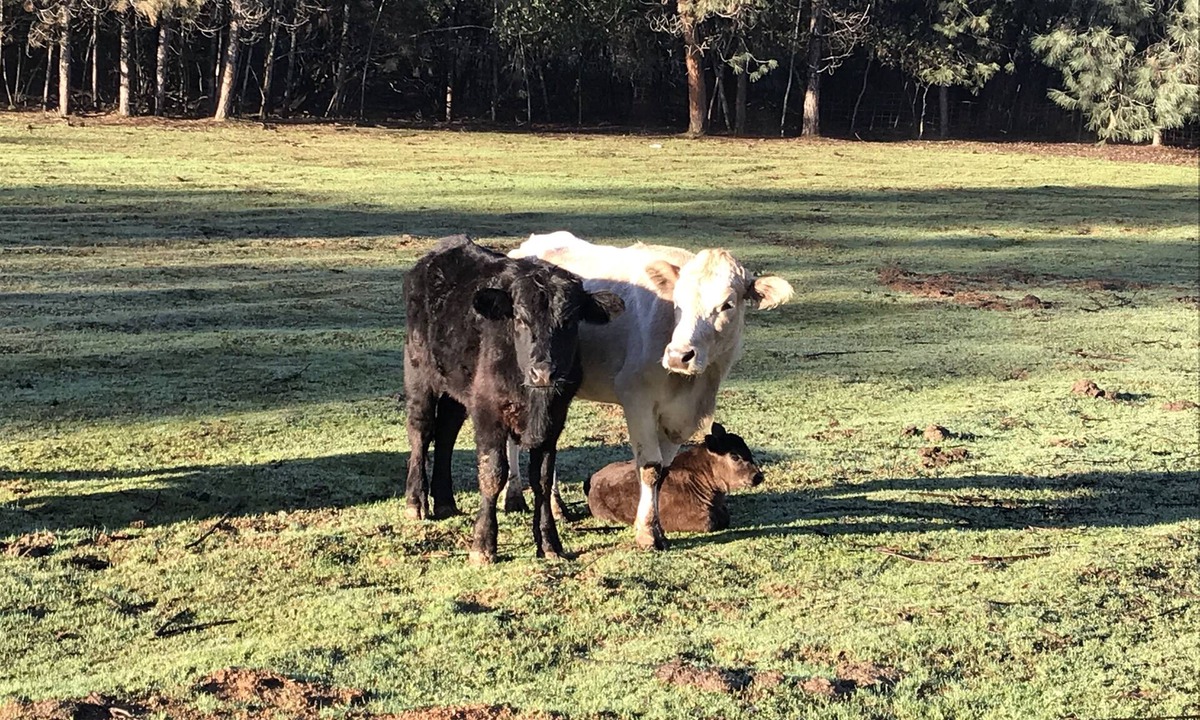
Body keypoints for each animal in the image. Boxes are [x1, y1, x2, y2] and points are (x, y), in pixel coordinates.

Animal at [403, 235, 623, 564]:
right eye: (519, 319)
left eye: (570, 320)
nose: (544, 372)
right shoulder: (488, 411)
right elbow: (493, 472)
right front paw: (483, 545)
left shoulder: (554, 419)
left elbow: (542, 478)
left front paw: (549, 542)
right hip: (419, 373)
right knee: (422, 430)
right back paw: (416, 501)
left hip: (457, 387)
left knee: (446, 433)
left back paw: (444, 502)